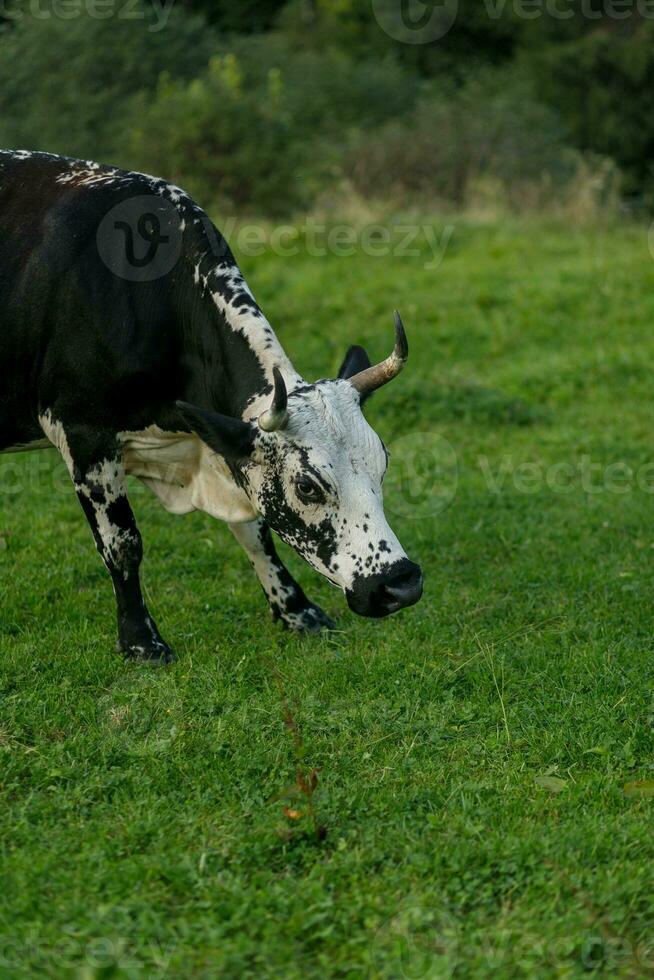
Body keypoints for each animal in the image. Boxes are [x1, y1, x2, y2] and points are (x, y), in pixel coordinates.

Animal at [0, 149, 426, 664]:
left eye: (383, 462)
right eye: (306, 486)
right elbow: (122, 544)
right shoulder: (84, 434)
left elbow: (256, 530)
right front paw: (142, 641)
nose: (399, 584)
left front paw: (296, 611)